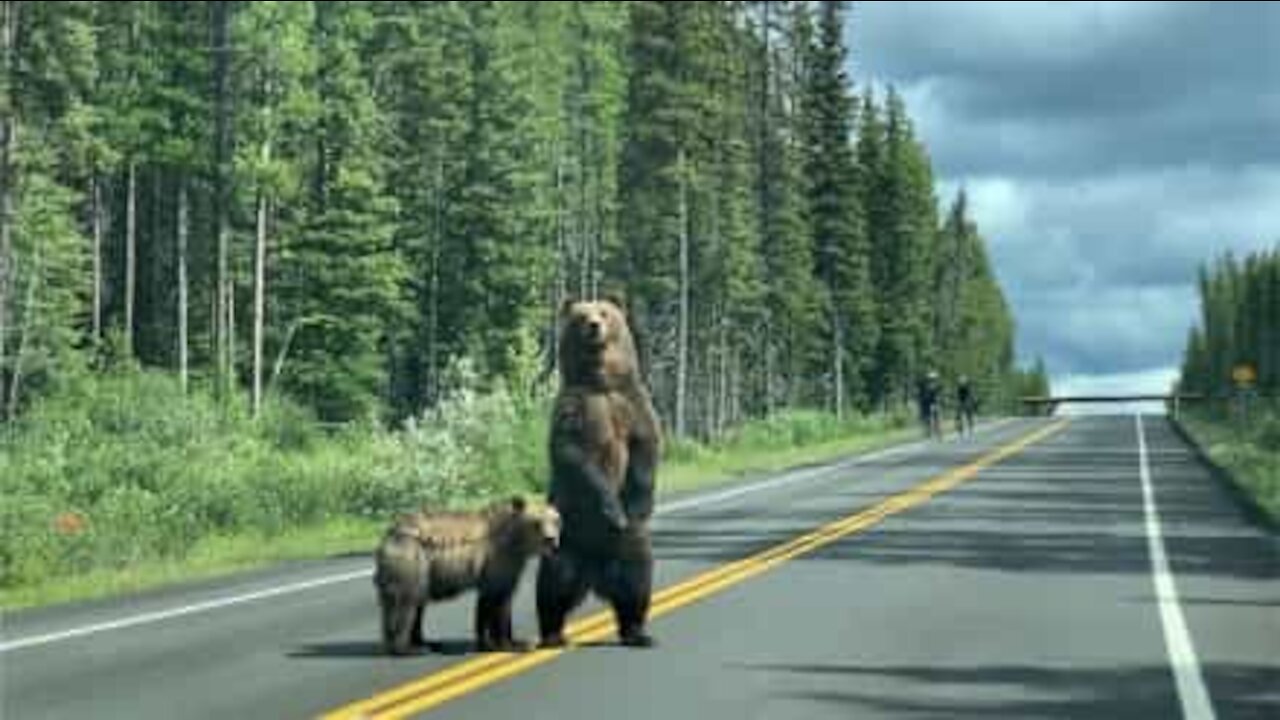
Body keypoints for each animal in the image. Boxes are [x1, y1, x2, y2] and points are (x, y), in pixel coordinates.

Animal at [373, 497, 565, 653]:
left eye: (555, 520)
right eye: (536, 522)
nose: (551, 540)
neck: (517, 543)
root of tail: (389, 534)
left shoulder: (506, 565)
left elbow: (494, 601)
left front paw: (496, 641)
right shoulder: (498, 558)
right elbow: (497, 601)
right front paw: (511, 644)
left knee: (417, 602)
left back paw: (425, 642)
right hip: (412, 560)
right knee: (405, 603)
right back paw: (407, 648)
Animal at [537, 294, 665, 648]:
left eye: (605, 313)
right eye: (582, 316)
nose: (594, 326)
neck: (601, 382)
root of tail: (595, 573)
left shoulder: (632, 404)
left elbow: (646, 448)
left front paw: (639, 504)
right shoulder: (574, 408)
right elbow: (573, 454)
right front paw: (611, 507)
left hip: (630, 543)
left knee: (637, 578)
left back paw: (637, 631)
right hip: (567, 534)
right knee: (554, 582)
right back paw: (552, 633)